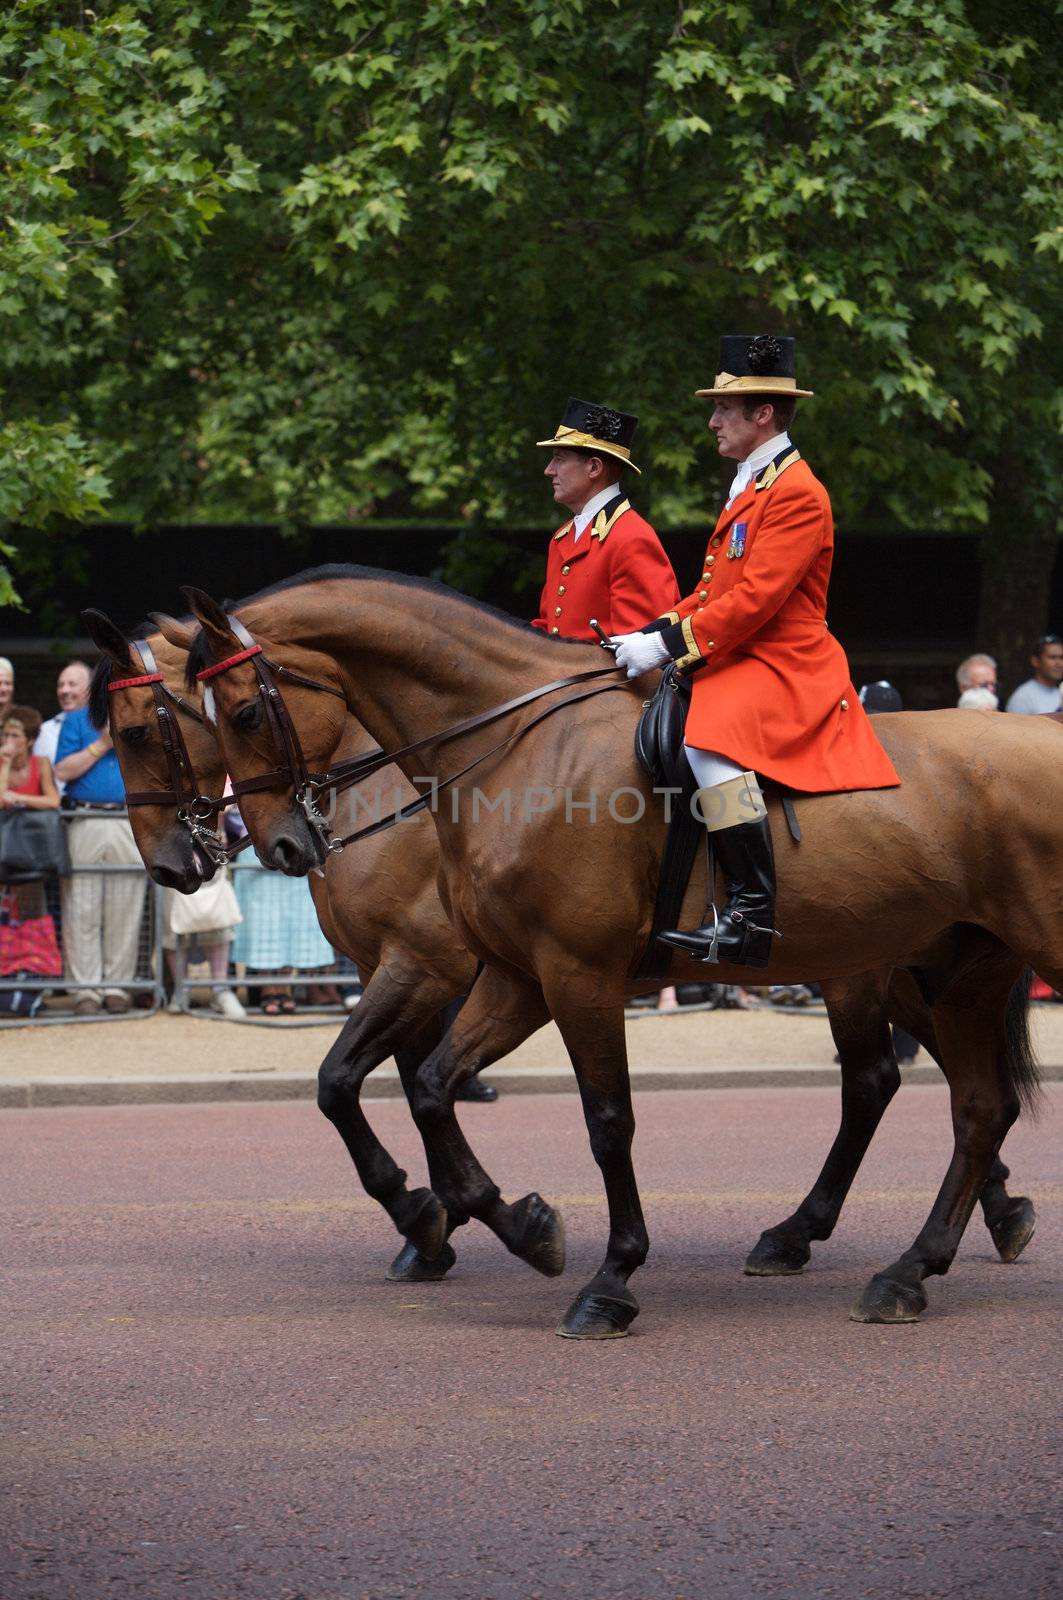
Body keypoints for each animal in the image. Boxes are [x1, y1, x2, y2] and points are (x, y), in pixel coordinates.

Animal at [178, 569, 1050, 1344]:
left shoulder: (564, 974)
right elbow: (424, 1088)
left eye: (244, 712)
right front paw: (513, 1226)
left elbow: (605, 1121)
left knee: (904, 1088)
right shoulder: (514, 978)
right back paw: (904, 1261)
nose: (279, 847)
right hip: (946, 971)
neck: (512, 750)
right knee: (970, 1104)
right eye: (197, 721)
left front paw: (609, 1278)